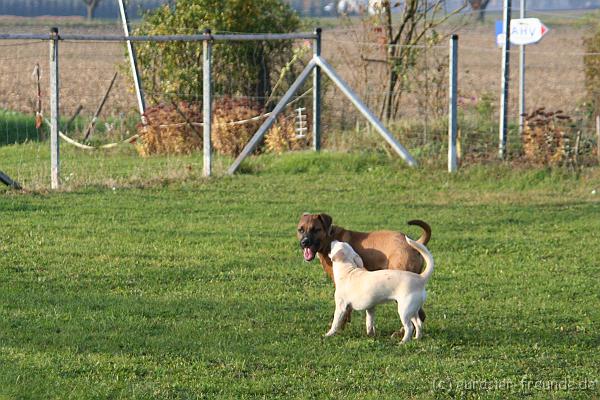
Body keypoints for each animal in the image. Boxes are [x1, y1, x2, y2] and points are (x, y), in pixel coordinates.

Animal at [296, 214, 432, 324]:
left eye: (316, 229)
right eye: (300, 230)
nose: (304, 242)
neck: (329, 238)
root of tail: (415, 244)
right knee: (420, 315)